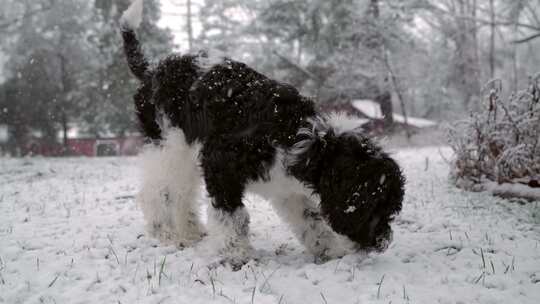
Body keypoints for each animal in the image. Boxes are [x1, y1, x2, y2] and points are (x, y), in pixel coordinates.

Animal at [120, 0, 402, 268]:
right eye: (373, 205)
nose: (380, 243)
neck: (294, 135)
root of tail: (152, 71)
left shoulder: (286, 186)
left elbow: (311, 219)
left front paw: (330, 251)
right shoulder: (221, 166)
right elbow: (232, 216)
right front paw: (237, 256)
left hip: (185, 154)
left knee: (182, 193)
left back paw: (189, 232)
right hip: (167, 146)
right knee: (157, 191)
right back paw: (165, 233)